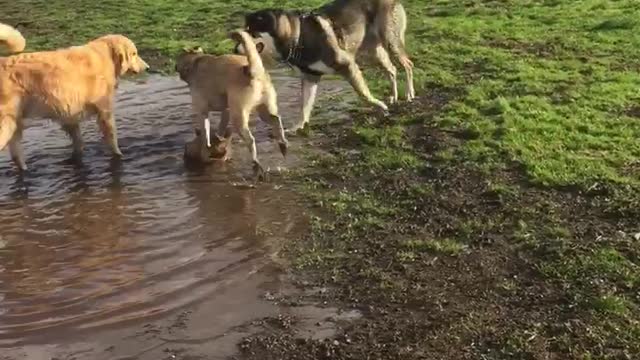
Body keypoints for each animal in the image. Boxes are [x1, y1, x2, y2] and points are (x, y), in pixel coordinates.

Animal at [0, 22, 149, 172]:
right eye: (134, 54)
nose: (147, 67)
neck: (106, 55)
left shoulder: (69, 116)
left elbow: (78, 143)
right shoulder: (104, 111)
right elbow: (112, 141)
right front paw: (119, 155)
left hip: (15, 125)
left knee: (17, 156)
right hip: (6, 125)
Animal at [175, 30, 284, 179]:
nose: (175, 66)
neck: (196, 62)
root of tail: (253, 71)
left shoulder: (202, 111)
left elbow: (205, 135)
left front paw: (207, 149)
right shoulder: (226, 110)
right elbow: (220, 129)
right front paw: (219, 142)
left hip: (239, 116)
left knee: (251, 140)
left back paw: (256, 165)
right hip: (264, 108)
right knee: (276, 119)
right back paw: (283, 144)